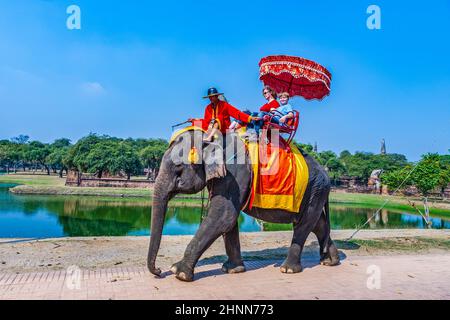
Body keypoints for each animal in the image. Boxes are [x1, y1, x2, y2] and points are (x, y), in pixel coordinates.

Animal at [146, 129, 340, 282]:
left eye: (178, 168)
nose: (159, 271)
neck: (212, 138)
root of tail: (326, 173)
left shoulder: (235, 173)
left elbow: (223, 215)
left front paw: (178, 272)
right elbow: (228, 220)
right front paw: (232, 269)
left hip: (315, 190)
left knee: (303, 225)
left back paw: (288, 269)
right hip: (315, 193)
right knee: (317, 224)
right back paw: (331, 261)